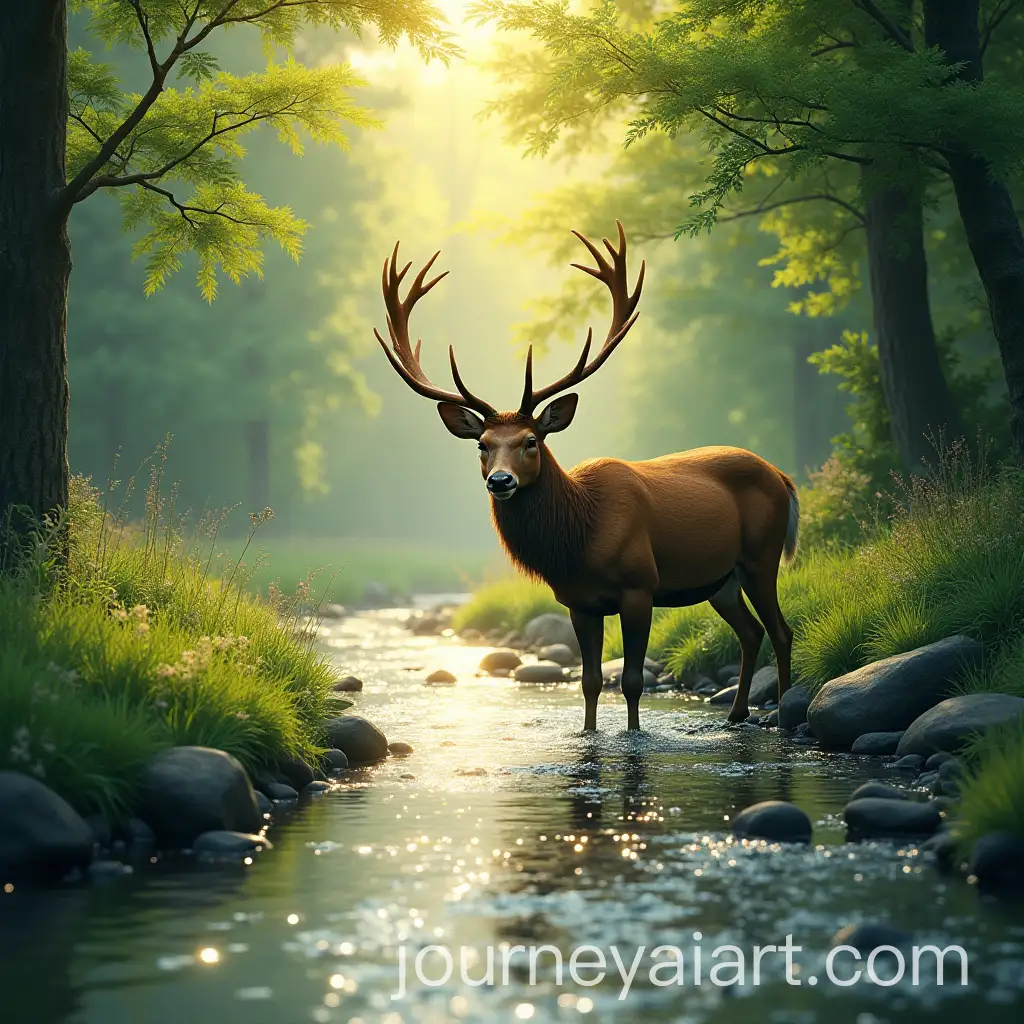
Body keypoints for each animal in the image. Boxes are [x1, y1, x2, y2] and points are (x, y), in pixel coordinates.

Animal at [373, 222, 799, 732]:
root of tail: (782, 476)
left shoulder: (640, 586)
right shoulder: (578, 601)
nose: (501, 481)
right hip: (723, 580)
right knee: (751, 632)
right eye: (482, 445)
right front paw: (588, 732)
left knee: (781, 630)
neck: (579, 538)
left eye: (531, 441)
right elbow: (590, 681)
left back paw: (783, 714)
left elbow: (631, 681)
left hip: (761, 555)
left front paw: (634, 735)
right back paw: (736, 714)